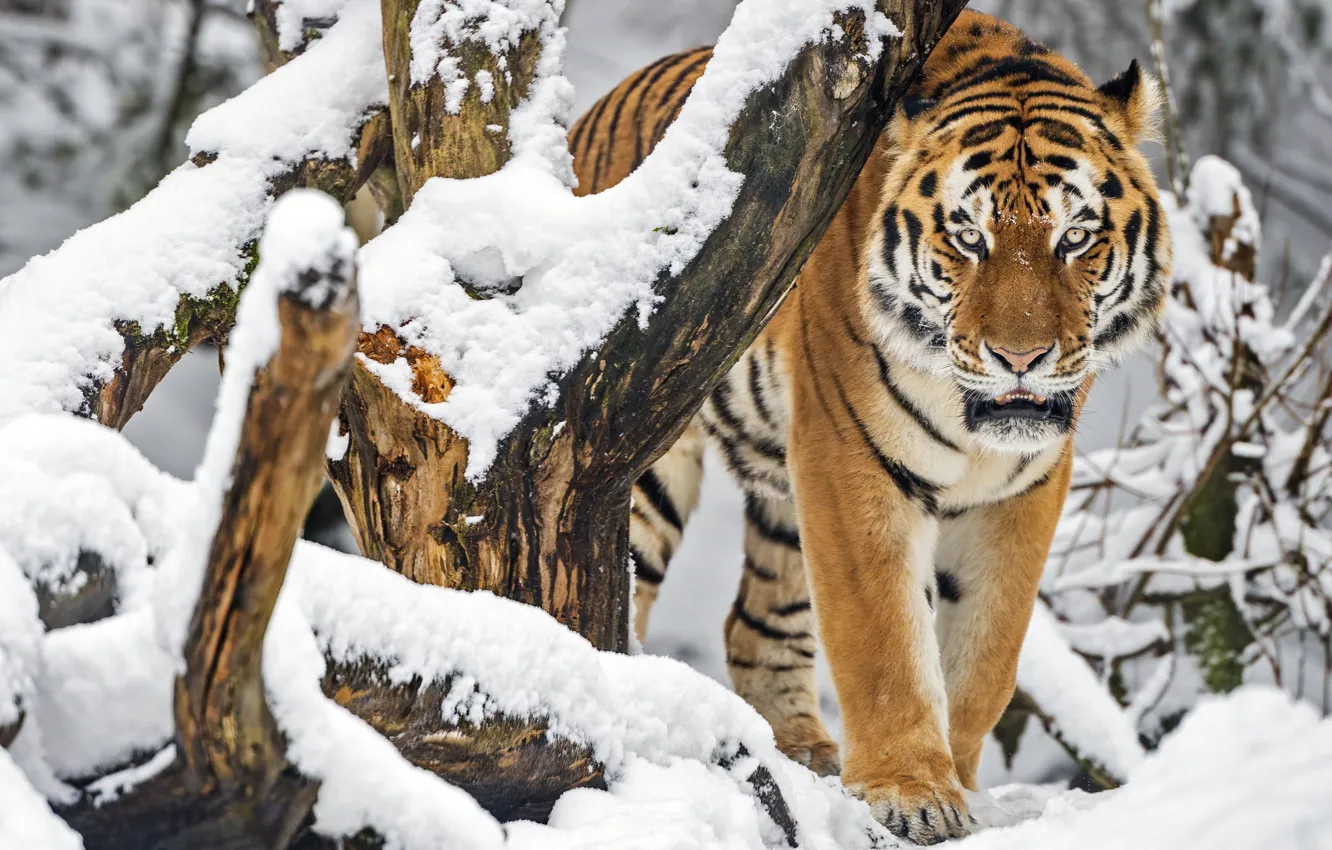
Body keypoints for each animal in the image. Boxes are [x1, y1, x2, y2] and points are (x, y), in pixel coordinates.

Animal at [569, 10, 1170, 844]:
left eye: (1075, 237)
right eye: (969, 238)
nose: (1020, 358)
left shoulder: (1026, 488)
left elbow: (987, 652)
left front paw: (961, 781)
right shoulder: (852, 456)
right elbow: (883, 640)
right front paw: (910, 792)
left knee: (754, 623)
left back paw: (803, 752)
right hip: (646, 455)